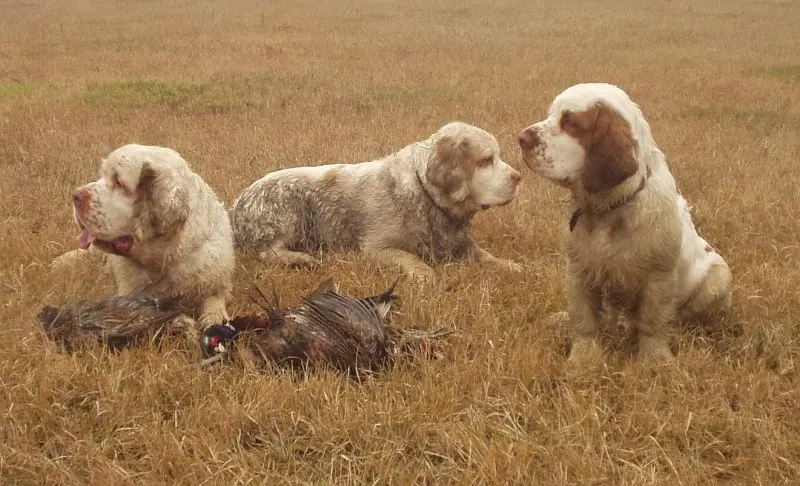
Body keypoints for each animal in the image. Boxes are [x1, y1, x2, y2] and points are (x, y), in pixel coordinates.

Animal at [228, 121, 520, 280]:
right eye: (486, 160)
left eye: (497, 156)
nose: (518, 177)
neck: (424, 194)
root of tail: (234, 206)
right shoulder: (376, 249)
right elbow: (412, 260)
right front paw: (425, 274)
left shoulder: (464, 246)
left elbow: (490, 257)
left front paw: (514, 266)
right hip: (288, 211)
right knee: (268, 252)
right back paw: (300, 259)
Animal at [520, 83, 732, 362]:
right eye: (552, 115)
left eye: (570, 122)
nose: (521, 139)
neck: (611, 208)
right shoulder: (578, 271)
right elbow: (583, 318)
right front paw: (584, 357)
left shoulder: (658, 277)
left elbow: (652, 322)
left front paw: (655, 360)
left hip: (719, 276)